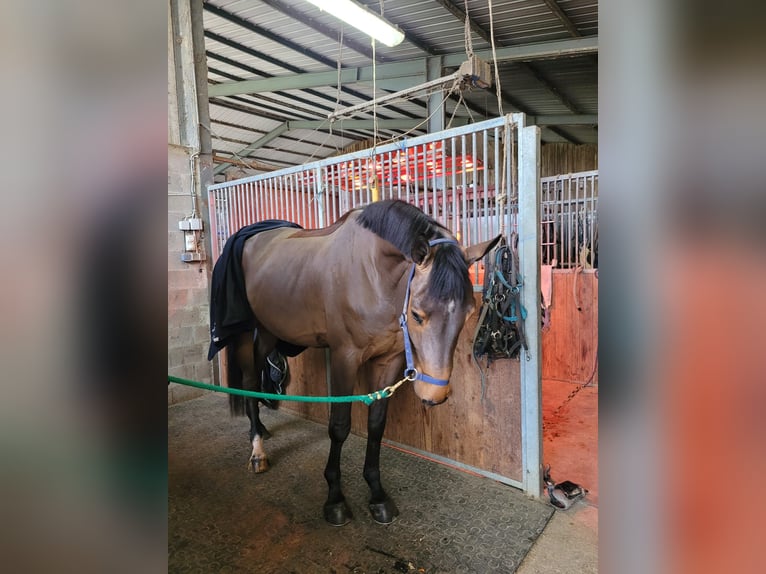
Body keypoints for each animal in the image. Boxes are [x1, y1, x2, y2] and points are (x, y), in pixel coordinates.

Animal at [208, 199, 500, 526]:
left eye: (468, 312)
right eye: (417, 314)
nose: (434, 395)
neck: (373, 278)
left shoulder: (389, 360)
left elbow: (376, 424)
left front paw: (377, 494)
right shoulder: (343, 358)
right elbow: (339, 426)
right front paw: (335, 499)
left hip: (272, 330)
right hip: (247, 332)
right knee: (248, 379)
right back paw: (257, 450)